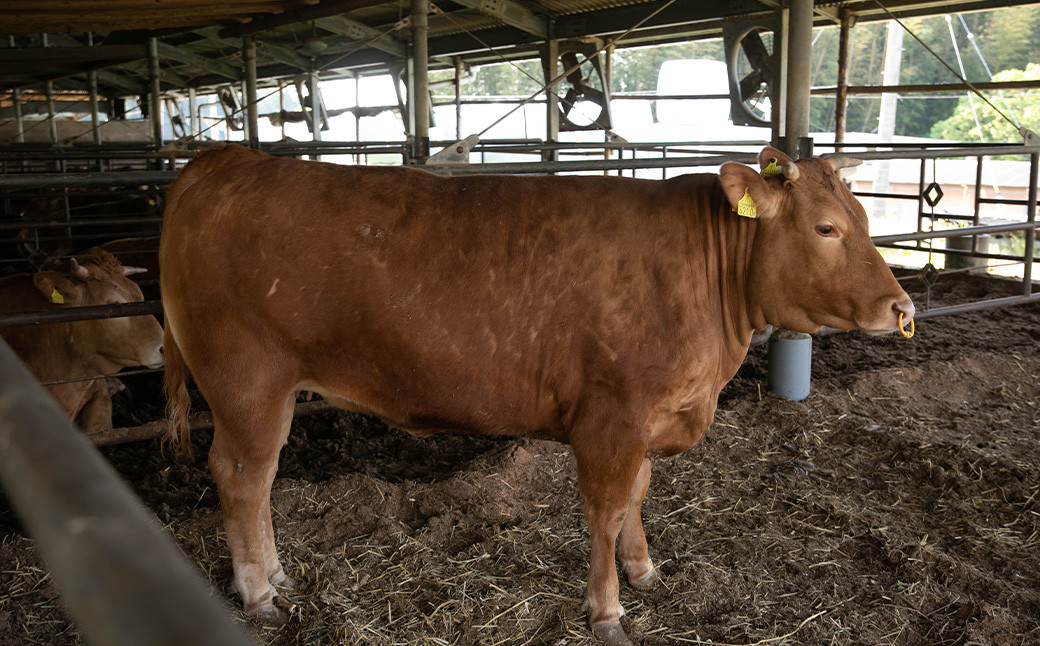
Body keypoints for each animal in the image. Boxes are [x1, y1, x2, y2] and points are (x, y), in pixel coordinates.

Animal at [158, 143, 915, 640]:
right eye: (826, 227)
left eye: (866, 219)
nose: (903, 309)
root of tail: (226, 159)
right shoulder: (612, 417)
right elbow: (606, 510)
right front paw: (607, 611)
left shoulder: (648, 420)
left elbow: (639, 496)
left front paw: (644, 571)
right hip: (246, 380)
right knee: (242, 476)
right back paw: (258, 594)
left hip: (274, 392)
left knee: (262, 479)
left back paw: (278, 576)